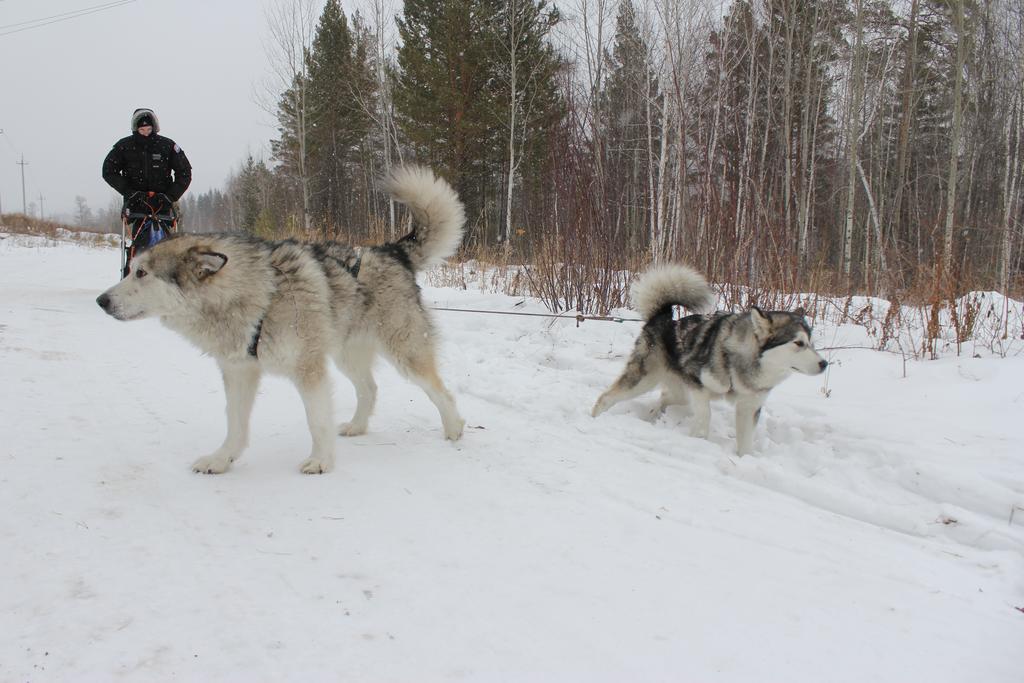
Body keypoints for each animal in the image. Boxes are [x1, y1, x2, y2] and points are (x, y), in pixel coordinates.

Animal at [96, 165, 464, 475]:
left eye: (142, 273)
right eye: (131, 270)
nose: (102, 301)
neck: (260, 293)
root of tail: (393, 250)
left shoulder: (308, 370)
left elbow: (316, 420)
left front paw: (321, 461)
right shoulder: (239, 372)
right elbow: (235, 424)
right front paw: (222, 459)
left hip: (405, 354)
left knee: (440, 392)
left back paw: (454, 429)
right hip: (347, 356)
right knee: (370, 389)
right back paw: (357, 427)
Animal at [593, 264, 823, 456]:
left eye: (812, 343)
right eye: (798, 343)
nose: (824, 364)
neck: (739, 361)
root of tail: (662, 318)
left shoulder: (749, 407)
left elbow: (746, 444)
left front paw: (745, 460)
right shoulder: (697, 386)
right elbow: (705, 416)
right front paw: (699, 438)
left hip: (678, 392)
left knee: (664, 397)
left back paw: (651, 414)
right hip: (645, 380)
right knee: (606, 397)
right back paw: (595, 418)